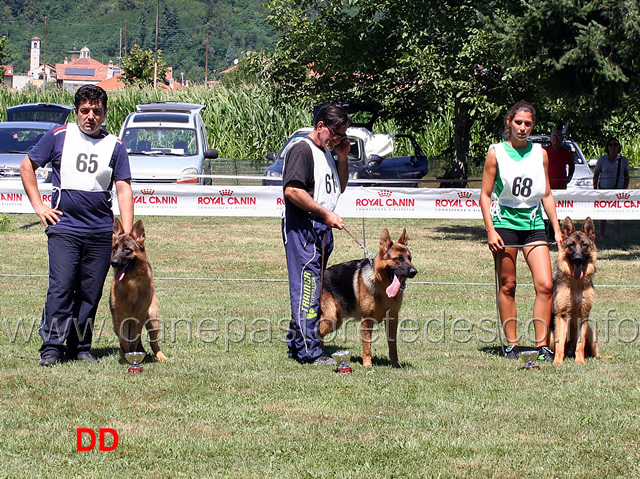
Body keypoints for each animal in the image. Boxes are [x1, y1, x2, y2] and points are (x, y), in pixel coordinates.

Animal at [111, 219, 169, 362]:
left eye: (127, 249)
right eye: (114, 248)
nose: (113, 262)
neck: (131, 282)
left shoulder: (139, 316)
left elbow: (134, 341)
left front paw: (132, 357)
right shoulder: (120, 318)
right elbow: (124, 341)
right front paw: (126, 359)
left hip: (152, 321)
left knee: (154, 343)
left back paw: (160, 356)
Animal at [318, 229, 418, 368]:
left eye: (410, 258)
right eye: (398, 258)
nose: (414, 271)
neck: (382, 286)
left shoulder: (392, 319)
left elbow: (392, 344)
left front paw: (395, 363)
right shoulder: (366, 320)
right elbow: (367, 345)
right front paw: (367, 365)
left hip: (335, 320)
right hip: (330, 319)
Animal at [552, 218, 600, 368]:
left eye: (584, 245)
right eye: (571, 245)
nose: (578, 259)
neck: (576, 283)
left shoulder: (583, 316)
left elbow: (580, 343)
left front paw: (580, 361)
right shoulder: (562, 315)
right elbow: (560, 343)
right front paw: (557, 362)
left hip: (591, 333)